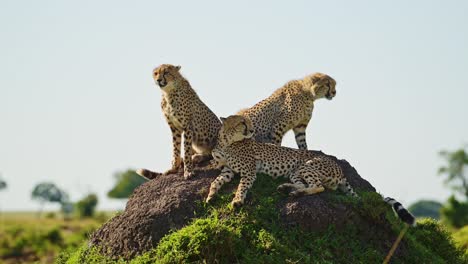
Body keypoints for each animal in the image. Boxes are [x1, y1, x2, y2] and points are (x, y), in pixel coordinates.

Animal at [207, 114, 414, 226]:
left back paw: (293, 192)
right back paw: (288, 189)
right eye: (242, 123)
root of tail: (340, 169)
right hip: (295, 171)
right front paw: (210, 195)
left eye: (249, 122)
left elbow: (242, 186)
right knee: (305, 185)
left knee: (318, 186)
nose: (251, 130)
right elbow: (216, 180)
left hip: (306, 165)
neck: (227, 142)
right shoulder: (227, 169)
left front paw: (237, 200)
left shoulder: (249, 170)